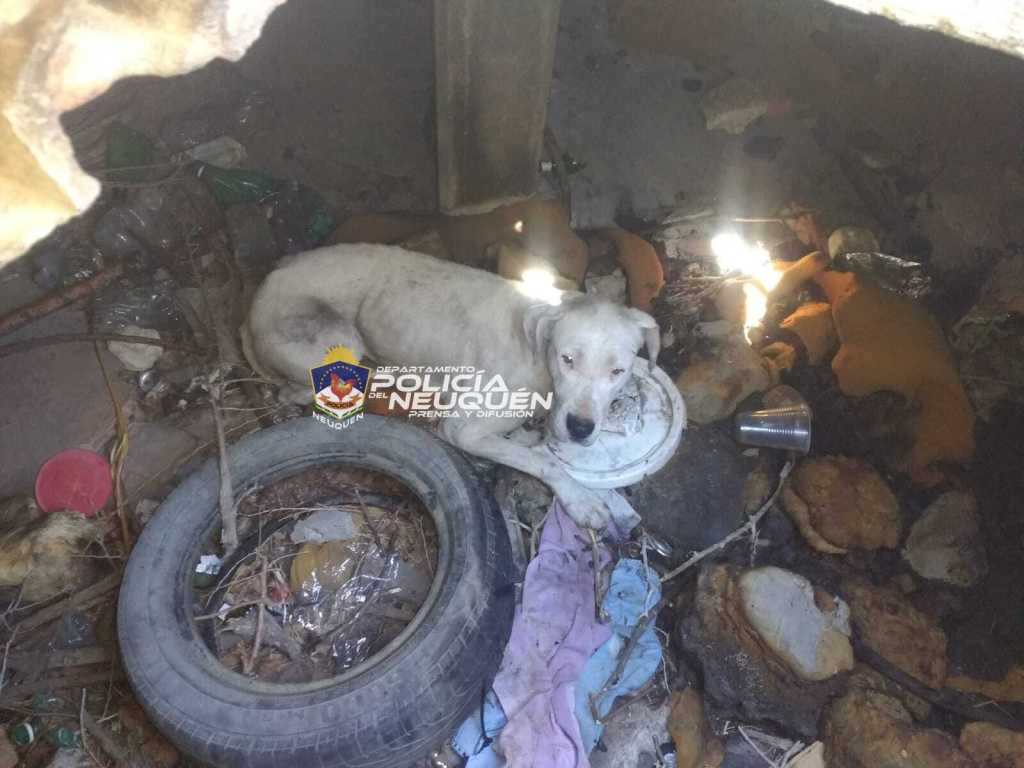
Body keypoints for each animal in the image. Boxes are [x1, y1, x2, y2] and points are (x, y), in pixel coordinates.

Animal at [240, 244, 659, 528]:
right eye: (567, 359)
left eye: (617, 371)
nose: (580, 427)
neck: (536, 346)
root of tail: (261, 290)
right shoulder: (463, 428)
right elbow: (543, 461)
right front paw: (580, 499)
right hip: (338, 339)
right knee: (296, 389)